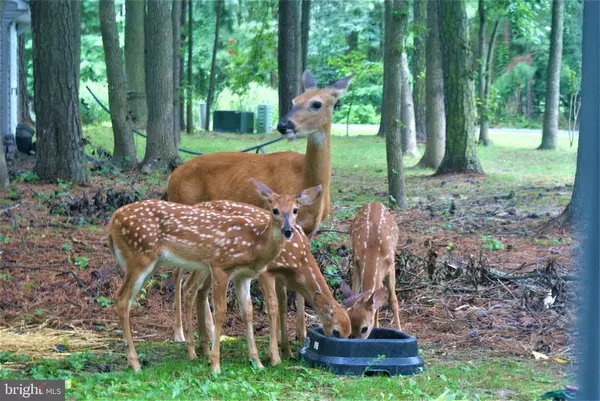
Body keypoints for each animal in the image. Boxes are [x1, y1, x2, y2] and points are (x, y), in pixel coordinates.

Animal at [108, 178, 324, 372]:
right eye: (275, 210)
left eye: (295, 210)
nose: (287, 230)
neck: (254, 245)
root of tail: (112, 221)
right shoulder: (220, 266)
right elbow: (220, 311)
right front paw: (215, 365)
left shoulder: (243, 275)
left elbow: (248, 312)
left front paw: (257, 363)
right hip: (140, 257)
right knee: (122, 299)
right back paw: (136, 363)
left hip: (150, 262)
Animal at [166, 70, 352, 342]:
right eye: (295, 100)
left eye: (316, 103)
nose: (284, 125)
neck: (307, 182)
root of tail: (171, 178)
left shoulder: (306, 232)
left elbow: (298, 289)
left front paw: (301, 333)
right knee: (177, 273)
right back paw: (180, 332)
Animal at [183, 202, 352, 360]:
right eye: (336, 331)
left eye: (349, 333)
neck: (299, 260)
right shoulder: (267, 270)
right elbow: (273, 307)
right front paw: (274, 355)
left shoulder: (281, 276)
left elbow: (283, 305)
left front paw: (287, 350)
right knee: (189, 288)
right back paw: (193, 351)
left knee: (201, 292)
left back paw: (204, 348)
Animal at [340, 202, 400, 336]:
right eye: (350, 325)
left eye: (364, 328)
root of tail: (375, 202)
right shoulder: (357, 262)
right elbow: (356, 293)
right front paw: (377, 327)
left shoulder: (391, 264)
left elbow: (393, 300)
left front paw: (400, 330)